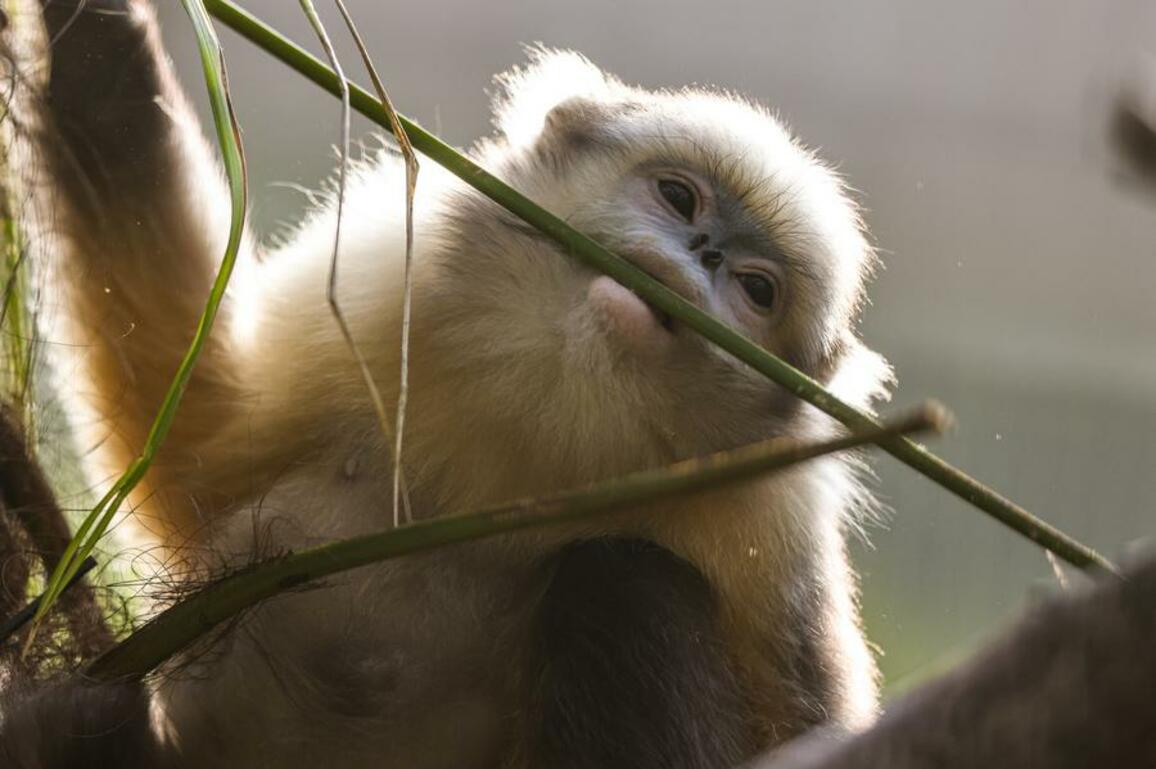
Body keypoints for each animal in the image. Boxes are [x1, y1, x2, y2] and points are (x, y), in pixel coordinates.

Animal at [8, 0, 896, 766]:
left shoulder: (774, 512)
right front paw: (98, 25)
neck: (564, 396)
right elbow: (197, 444)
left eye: (756, 290)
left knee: (624, 575)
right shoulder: (384, 275)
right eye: (678, 195)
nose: (704, 256)